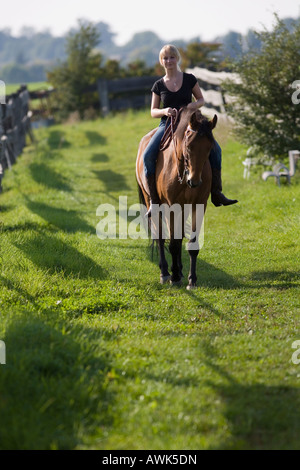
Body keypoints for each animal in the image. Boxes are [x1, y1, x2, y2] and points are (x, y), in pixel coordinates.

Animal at [137, 108, 218, 288]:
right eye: (189, 145)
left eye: (209, 147)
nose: (194, 181)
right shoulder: (171, 206)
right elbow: (173, 243)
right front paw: (174, 277)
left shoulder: (198, 205)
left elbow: (190, 242)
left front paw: (191, 279)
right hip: (152, 202)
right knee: (160, 237)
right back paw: (165, 272)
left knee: (178, 236)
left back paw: (179, 271)